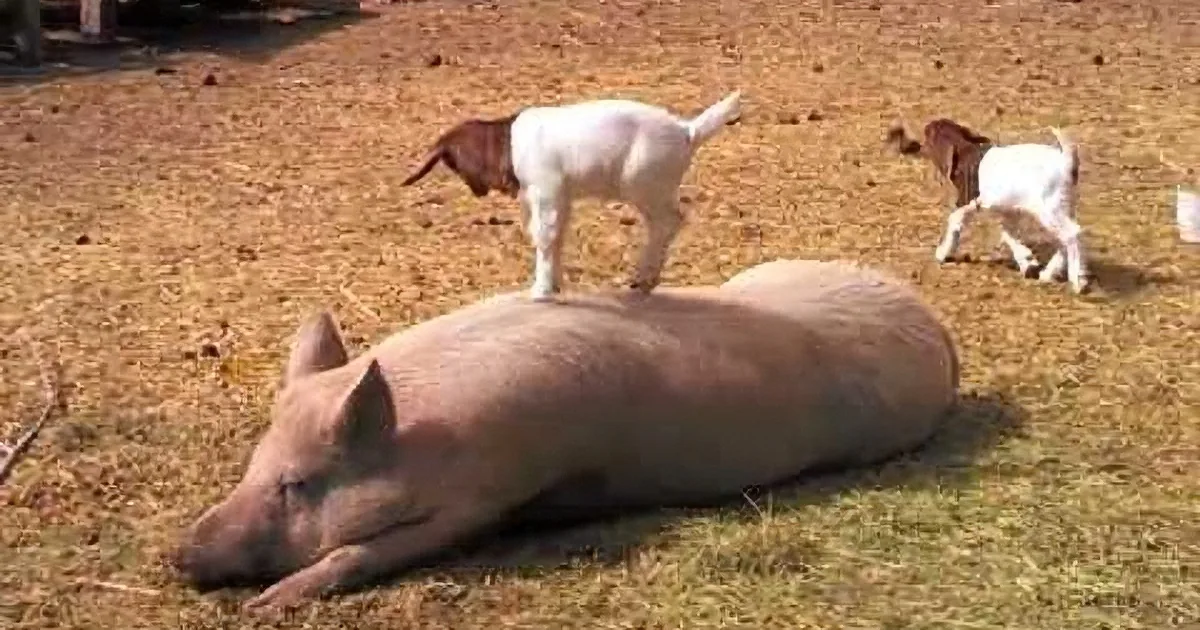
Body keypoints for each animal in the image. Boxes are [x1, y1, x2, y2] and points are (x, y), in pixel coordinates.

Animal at [170, 258, 961, 609]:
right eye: (252, 464)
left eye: (298, 483)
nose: (180, 555)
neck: (425, 439)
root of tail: (937, 325)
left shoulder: (483, 496)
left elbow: (362, 551)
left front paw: (269, 605)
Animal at [401, 91, 744, 301]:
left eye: (452, 163)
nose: (478, 192)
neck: (507, 144)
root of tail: (688, 131)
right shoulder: (560, 198)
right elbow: (558, 237)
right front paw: (555, 285)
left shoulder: (547, 192)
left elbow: (544, 237)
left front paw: (540, 292)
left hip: (645, 184)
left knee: (668, 222)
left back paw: (642, 279)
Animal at [887, 118, 1092, 294]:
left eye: (928, 132)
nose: (911, 144)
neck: (967, 154)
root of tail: (1065, 161)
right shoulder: (1007, 209)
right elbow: (1007, 232)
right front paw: (1027, 261)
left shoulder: (969, 201)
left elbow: (955, 219)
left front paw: (942, 253)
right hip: (1063, 206)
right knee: (1067, 236)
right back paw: (1049, 274)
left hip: (1049, 209)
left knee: (1071, 234)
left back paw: (1077, 282)